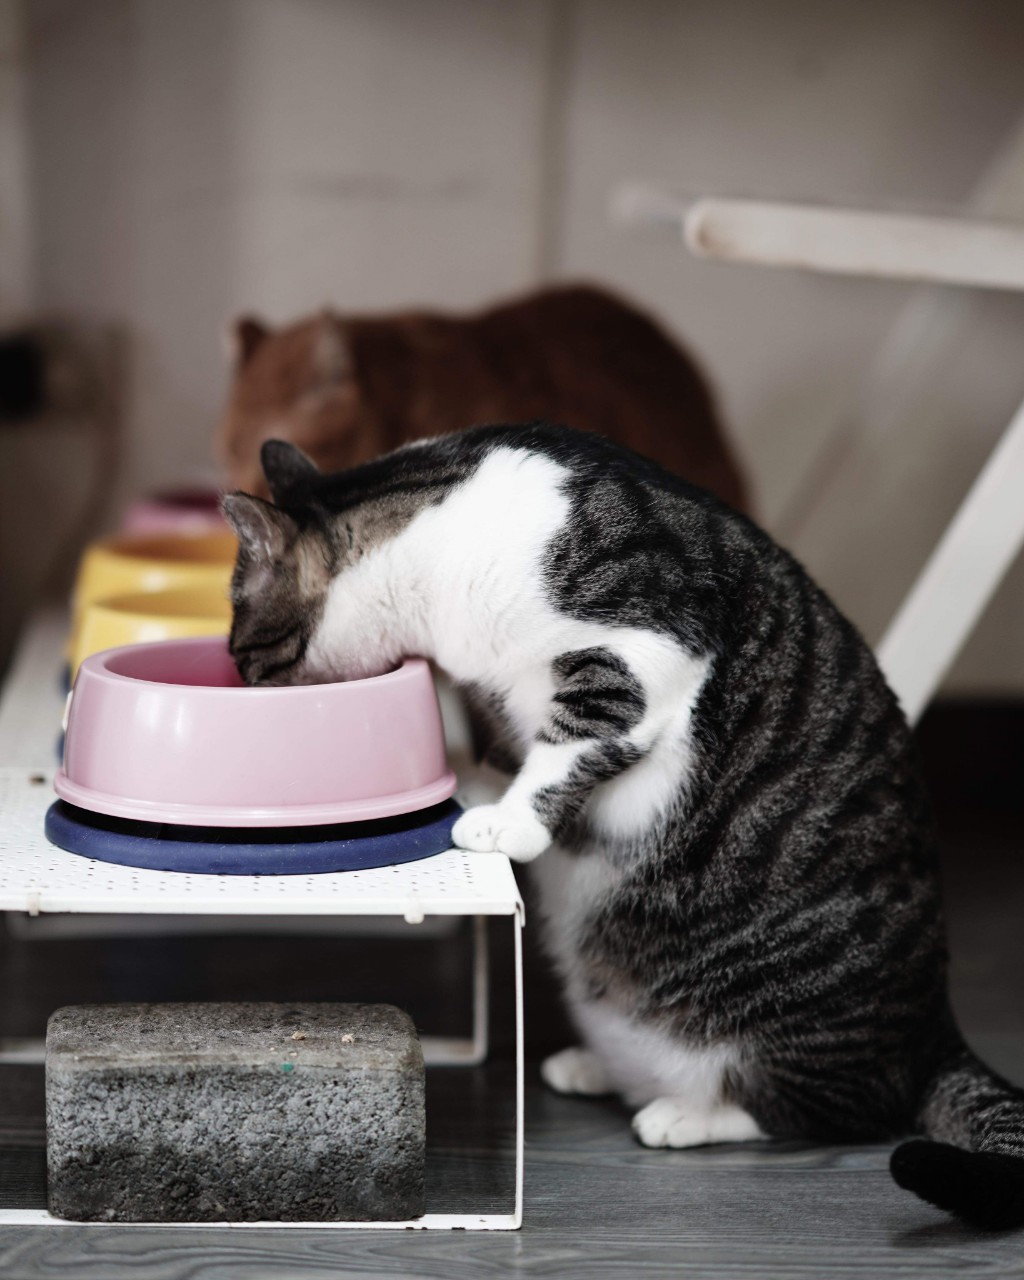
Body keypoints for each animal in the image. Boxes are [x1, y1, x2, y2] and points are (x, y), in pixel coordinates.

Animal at [221, 422, 1024, 1228]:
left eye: (243, 654)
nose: (238, 681)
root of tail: (934, 1031)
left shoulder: (639, 660)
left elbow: (568, 747)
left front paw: (506, 822)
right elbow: (508, 747)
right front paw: (469, 767)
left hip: (801, 1034)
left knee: (822, 1111)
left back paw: (686, 1114)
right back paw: (598, 1068)